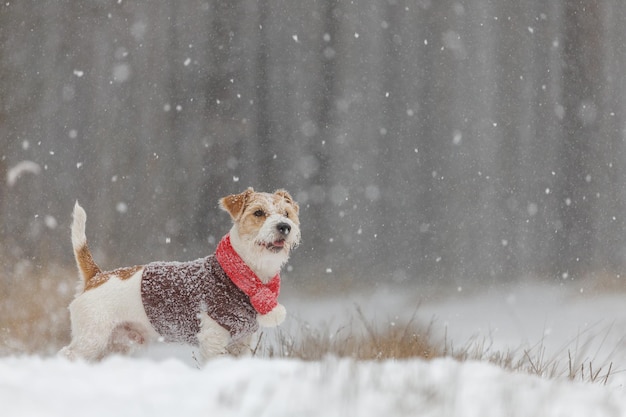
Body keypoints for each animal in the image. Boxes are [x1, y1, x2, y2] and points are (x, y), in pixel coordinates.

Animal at [59, 188, 300, 360]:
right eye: (258, 212)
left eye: (286, 213)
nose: (284, 226)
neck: (244, 274)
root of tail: (97, 276)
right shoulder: (213, 339)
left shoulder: (243, 342)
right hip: (92, 338)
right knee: (67, 354)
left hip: (118, 342)